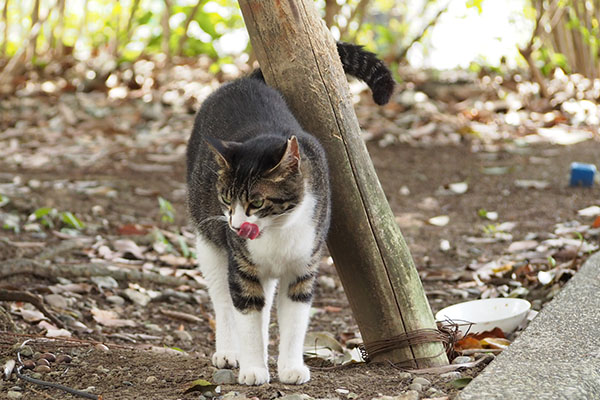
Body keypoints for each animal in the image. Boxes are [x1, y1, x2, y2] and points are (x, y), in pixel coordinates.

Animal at [186, 41, 394, 384]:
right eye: (226, 198)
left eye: (256, 202)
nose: (236, 225)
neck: (278, 230)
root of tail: (245, 81)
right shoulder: (242, 266)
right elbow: (245, 312)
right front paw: (253, 368)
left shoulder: (303, 267)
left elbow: (294, 322)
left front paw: (291, 367)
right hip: (209, 241)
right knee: (223, 299)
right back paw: (229, 351)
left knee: (266, 302)